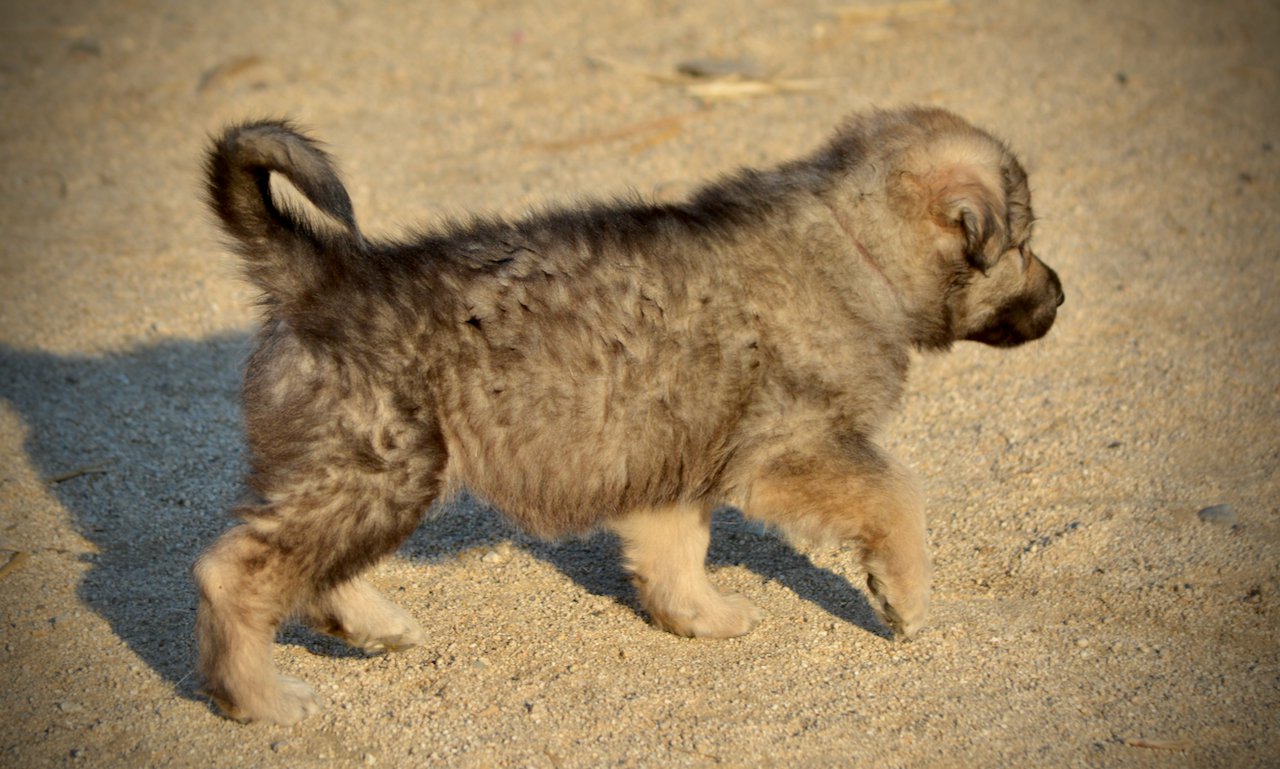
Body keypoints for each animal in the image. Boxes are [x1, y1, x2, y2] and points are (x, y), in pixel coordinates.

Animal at [194, 104, 1064, 721]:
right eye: (1022, 244)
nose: (1060, 296)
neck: (856, 243)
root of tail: (321, 277)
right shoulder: (794, 448)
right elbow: (900, 495)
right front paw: (905, 597)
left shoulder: (673, 454)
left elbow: (673, 551)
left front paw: (699, 615)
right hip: (380, 466)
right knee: (237, 573)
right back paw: (264, 700)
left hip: (366, 473)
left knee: (310, 569)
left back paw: (372, 627)